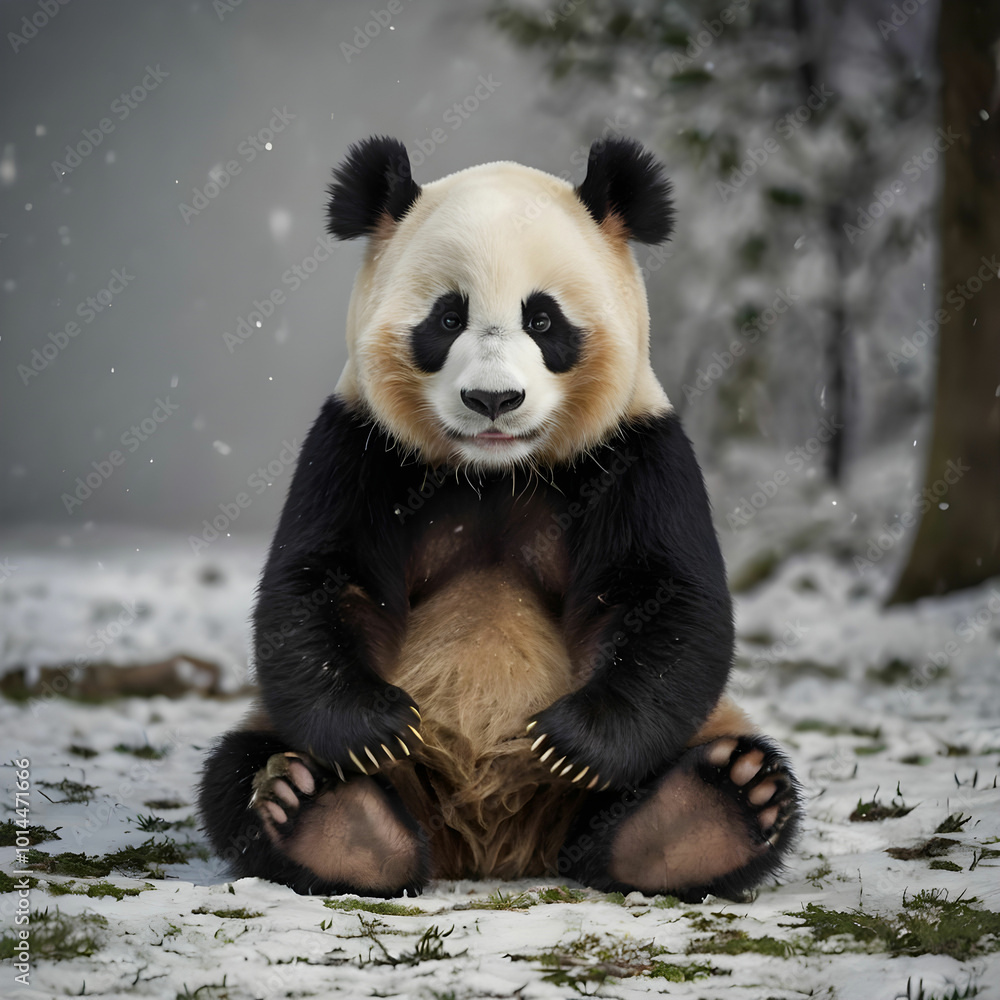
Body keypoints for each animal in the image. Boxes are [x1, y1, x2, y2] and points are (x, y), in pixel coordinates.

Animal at [198, 135, 801, 902]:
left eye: (542, 320)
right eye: (447, 318)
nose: (493, 400)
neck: (495, 472)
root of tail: (493, 844)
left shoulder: (637, 451)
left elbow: (666, 598)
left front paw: (571, 740)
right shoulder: (358, 445)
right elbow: (321, 582)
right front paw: (377, 726)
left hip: (677, 745)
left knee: (705, 782)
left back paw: (705, 814)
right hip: (317, 749)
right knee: (238, 769)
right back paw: (327, 817)